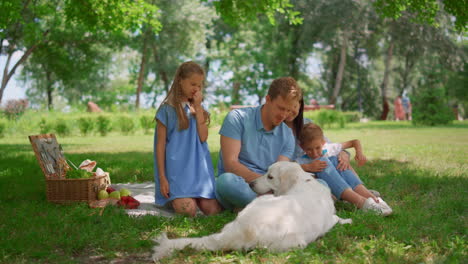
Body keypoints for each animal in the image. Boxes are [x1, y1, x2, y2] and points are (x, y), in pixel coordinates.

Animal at [152, 161, 350, 260]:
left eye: (270, 176)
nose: (251, 184)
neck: (303, 181)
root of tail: (242, 230)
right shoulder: (329, 219)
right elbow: (337, 218)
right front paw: (347, 220)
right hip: (295, 240)